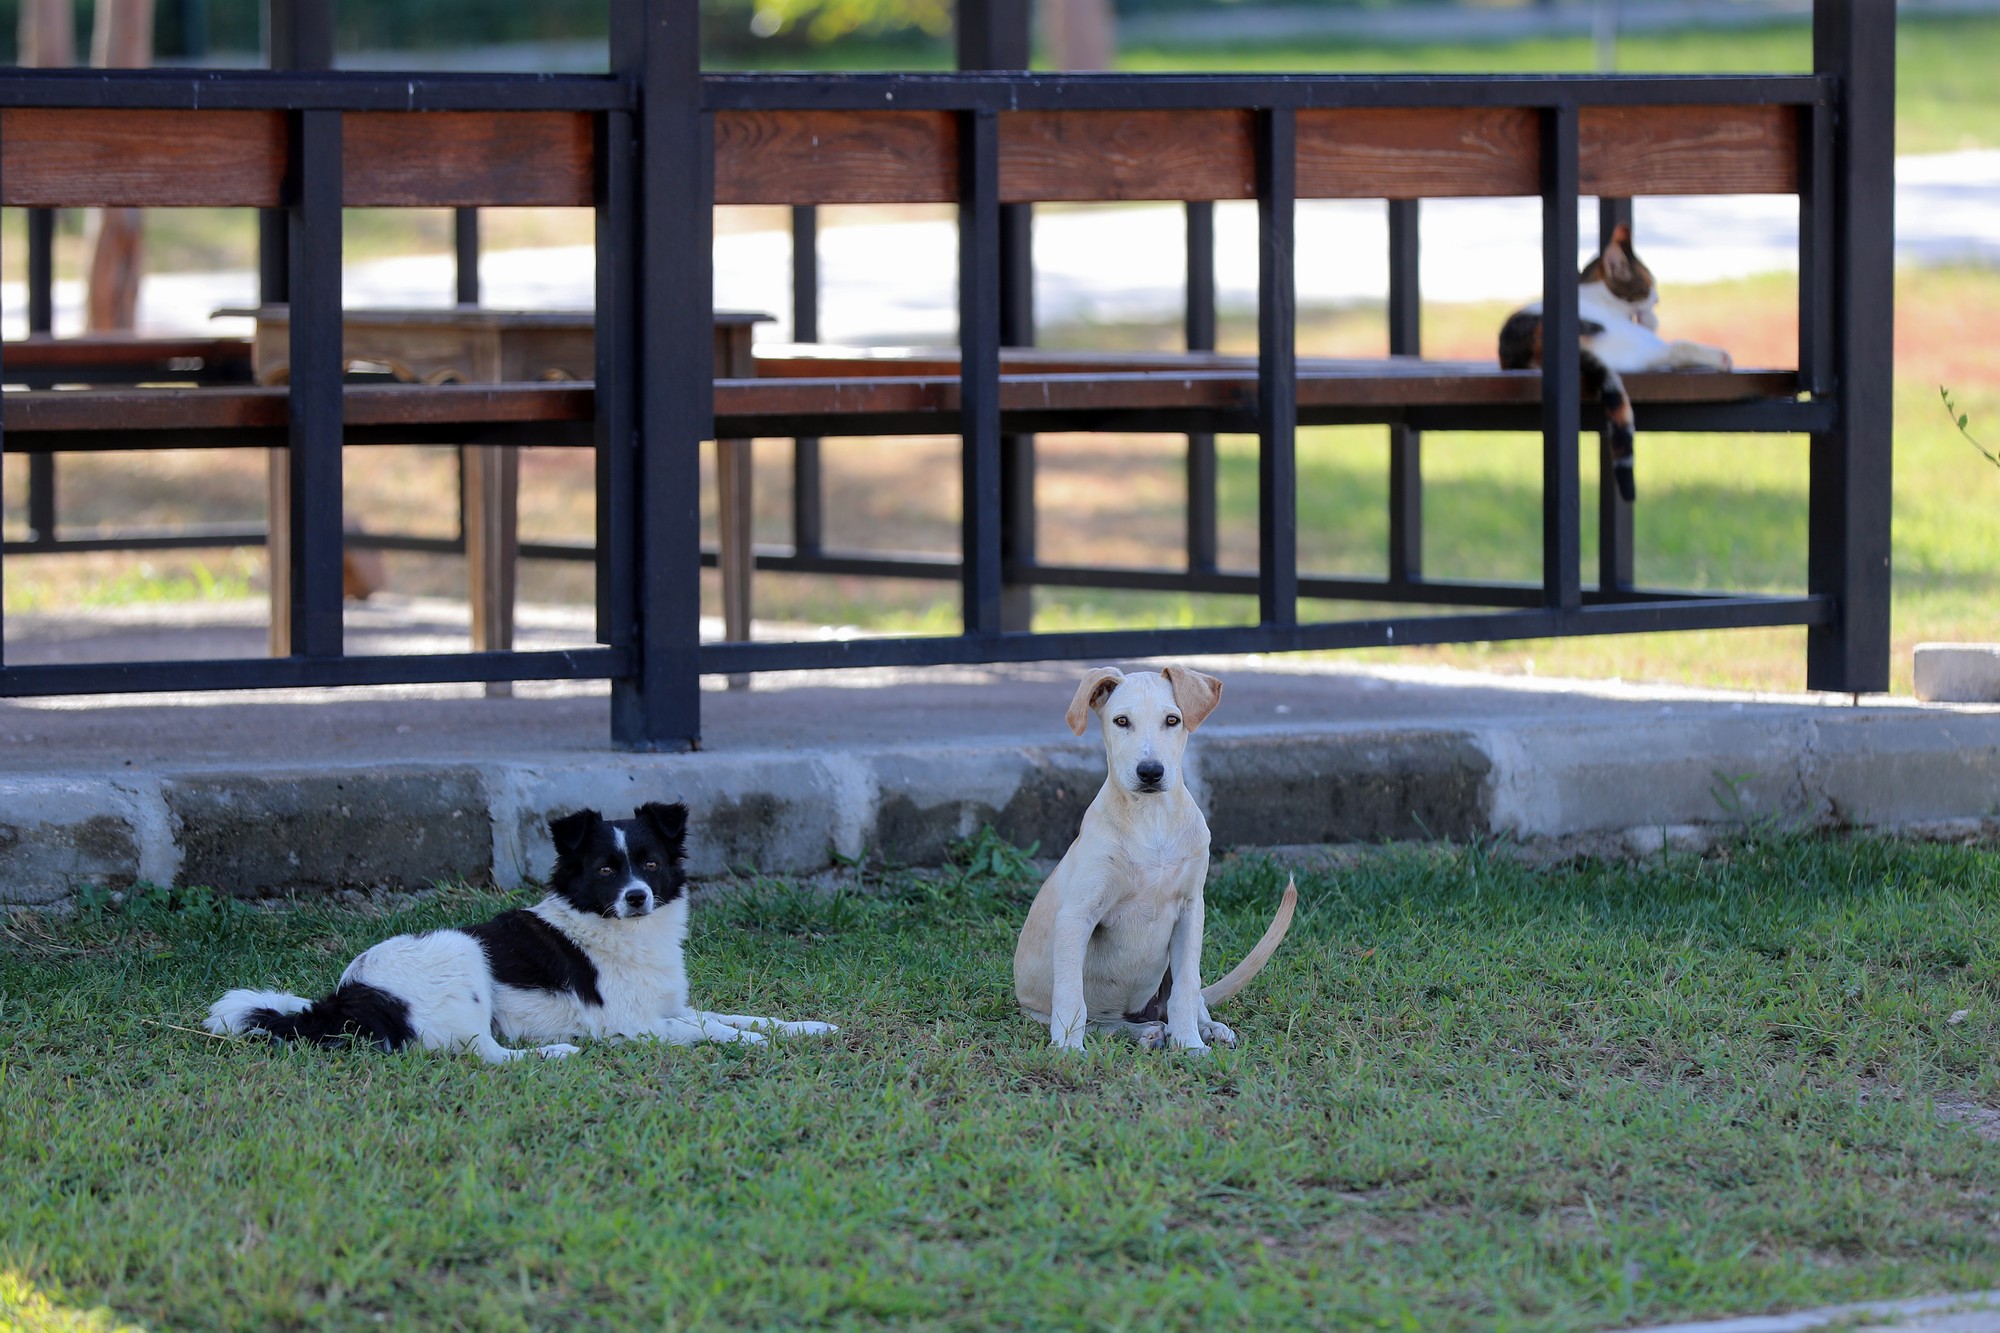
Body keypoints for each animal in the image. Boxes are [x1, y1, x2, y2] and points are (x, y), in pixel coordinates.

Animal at [213, 800, 844, 1056]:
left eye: (652, 865)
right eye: (606, 870)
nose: (637, 897)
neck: (613, 928)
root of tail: (349, 994)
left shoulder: (669, 1007)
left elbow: (739, 1016)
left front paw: (809, 1027)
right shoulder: (632, 1025)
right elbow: (710, 1029)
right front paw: (753, 1043)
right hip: (461, 952)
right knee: (481, 1054)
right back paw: (554, 1053)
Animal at [1016, 660, 1296, 1048]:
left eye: (1172, 720)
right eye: (1121, 721)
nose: (1150, 772)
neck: (1153, 819)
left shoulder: (1191, 910)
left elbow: (1187, 986)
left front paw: (1190, 1044)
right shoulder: (1078, 914)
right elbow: (1071, 995)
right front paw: (1068, 1048)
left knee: (1185, 996)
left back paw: (1205, 1027)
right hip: (1040, 1008)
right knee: (1101, 1022)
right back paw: (1144, 1032)